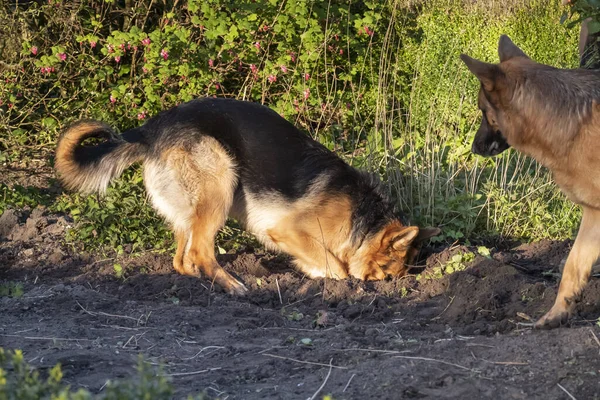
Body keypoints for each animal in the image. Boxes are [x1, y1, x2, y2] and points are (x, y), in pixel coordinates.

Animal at [55, 98, 440, 296]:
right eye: (387, 272)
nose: (384, 288)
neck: (362, 218)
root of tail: (152, 128)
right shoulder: (287, 230)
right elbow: (337, 266)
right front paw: (330, 275)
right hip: (220, 184)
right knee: (200, 252)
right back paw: (233, 285)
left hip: (191, 207)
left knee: (182, 259)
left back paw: (199, 280)